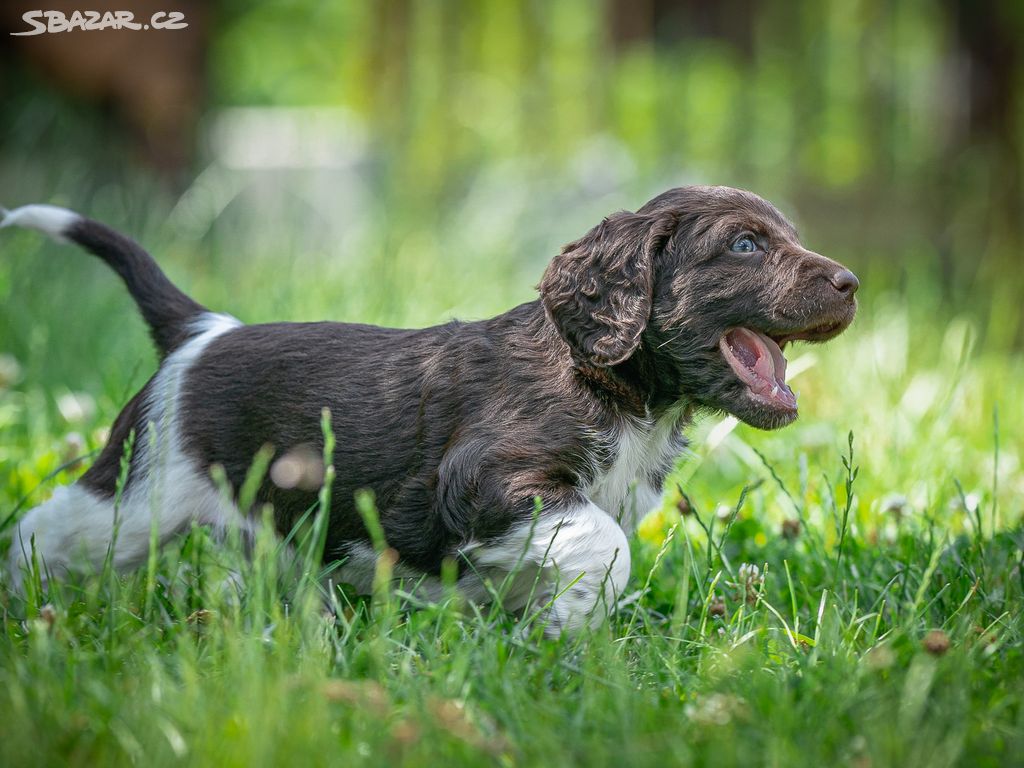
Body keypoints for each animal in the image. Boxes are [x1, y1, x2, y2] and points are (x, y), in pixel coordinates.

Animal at [4, 188, 860, 638]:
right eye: (745, 246)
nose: (851, 282)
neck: (613, 387)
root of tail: (203, 329)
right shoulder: (485, 482)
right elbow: (605, 544)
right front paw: (566, 631)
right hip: (136, 499)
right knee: (44, 532)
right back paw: (21, 608)